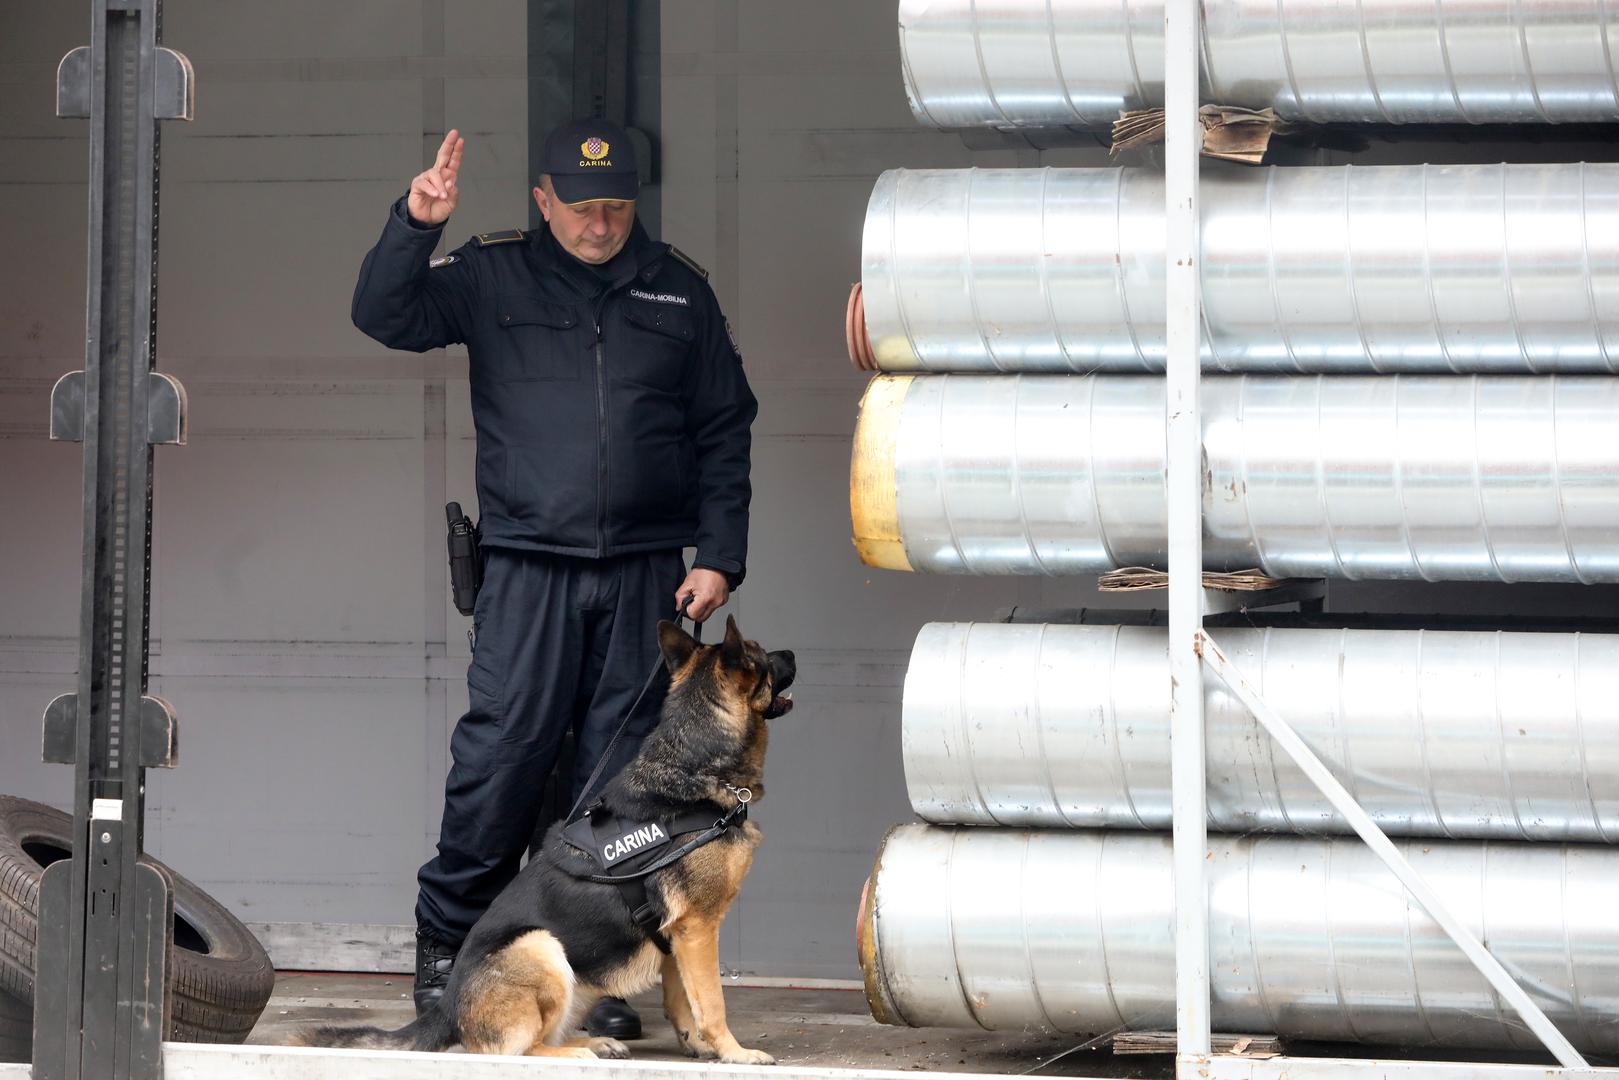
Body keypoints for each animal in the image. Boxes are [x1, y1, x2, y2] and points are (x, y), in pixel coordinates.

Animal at [294, 615, 799, 1062]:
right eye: (759, 654)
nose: (794, 653)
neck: (692, 763)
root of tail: (449, 1006)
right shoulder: (698, 930)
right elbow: (712, 1003)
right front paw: (735, 1053)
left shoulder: (677, 935)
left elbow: (684, 1003)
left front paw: (700, 1048)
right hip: (541, 947)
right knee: (518, 1050)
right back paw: (579, 1053)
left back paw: (597, 1041)